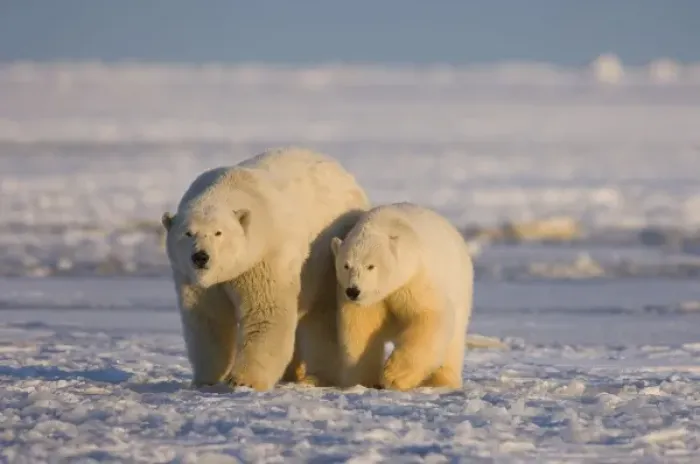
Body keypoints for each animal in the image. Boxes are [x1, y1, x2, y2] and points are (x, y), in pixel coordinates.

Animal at [161, 147, 370, 391]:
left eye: (218, 233)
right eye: (188, 233)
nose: (201, 257)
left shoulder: (264, 257)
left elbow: (266, 313)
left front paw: (243, 380)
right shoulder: (194, 278)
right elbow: (209, 319)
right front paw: (206, 379)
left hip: (329, 254)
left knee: (322, 316)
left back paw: (316, 377)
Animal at [330, 202, 474, 391]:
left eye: (371, 266)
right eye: (346, 265)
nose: (353, 291)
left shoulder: (413, 278)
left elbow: (429, 314)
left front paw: (392, 377)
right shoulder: (367, 300)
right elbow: (360, 326)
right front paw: (363, 381)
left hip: (460, 289)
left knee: (453, 342)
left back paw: (441, 381)